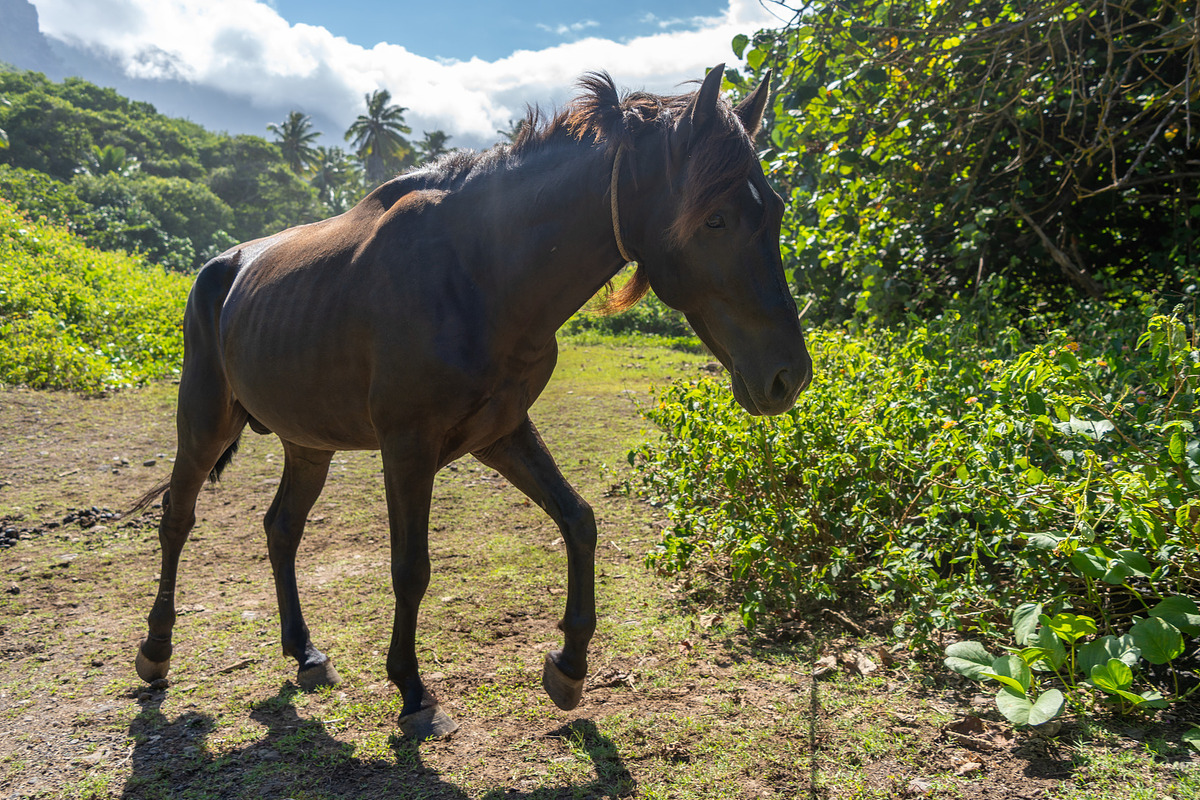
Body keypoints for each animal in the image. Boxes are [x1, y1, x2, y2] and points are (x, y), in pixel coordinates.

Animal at [130, 64, 812, 740]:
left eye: (775, 210)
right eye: (714, 219)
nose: (789, 376)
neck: (481, 271)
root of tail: (226, 266)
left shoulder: (500, 433)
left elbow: (579, 520)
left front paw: (568, 666)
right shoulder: (408, 446)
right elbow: (411, 567)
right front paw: (412, 690)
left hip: (308, 443)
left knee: (281, 529)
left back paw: (304, 653)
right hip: (204, 426)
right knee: (177, 520)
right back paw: (156, 652)